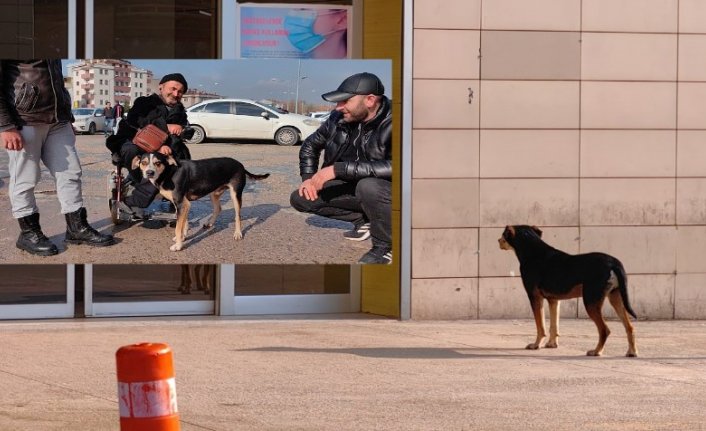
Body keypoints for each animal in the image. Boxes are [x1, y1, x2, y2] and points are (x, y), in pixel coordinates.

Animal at [134, 154, 270, 251]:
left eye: (158, 163)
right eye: (144, 162)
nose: (149, 173)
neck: (169, 173)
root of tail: (241, 165)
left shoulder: (182, 204)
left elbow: (178, 227)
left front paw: (178, 246)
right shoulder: (183, 205)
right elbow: (184, 224)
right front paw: (182, 237)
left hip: (235, 194)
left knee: (238, 216)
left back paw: (238, 233)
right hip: (214, 194)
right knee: (218, 208)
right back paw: (210, 223)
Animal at [496, 226, 640, 358]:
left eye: (503, 234)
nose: (498, 241)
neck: (533, 252)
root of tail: (613, 262)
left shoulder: (535, 297)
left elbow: (540, 326)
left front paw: (536, 345)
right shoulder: (554, 300)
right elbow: (554, 325)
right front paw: (552, 344)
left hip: (591, 301)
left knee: (605, 330)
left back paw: (596, 351)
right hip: (615, 297)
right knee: (629, 327)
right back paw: (632, 352)